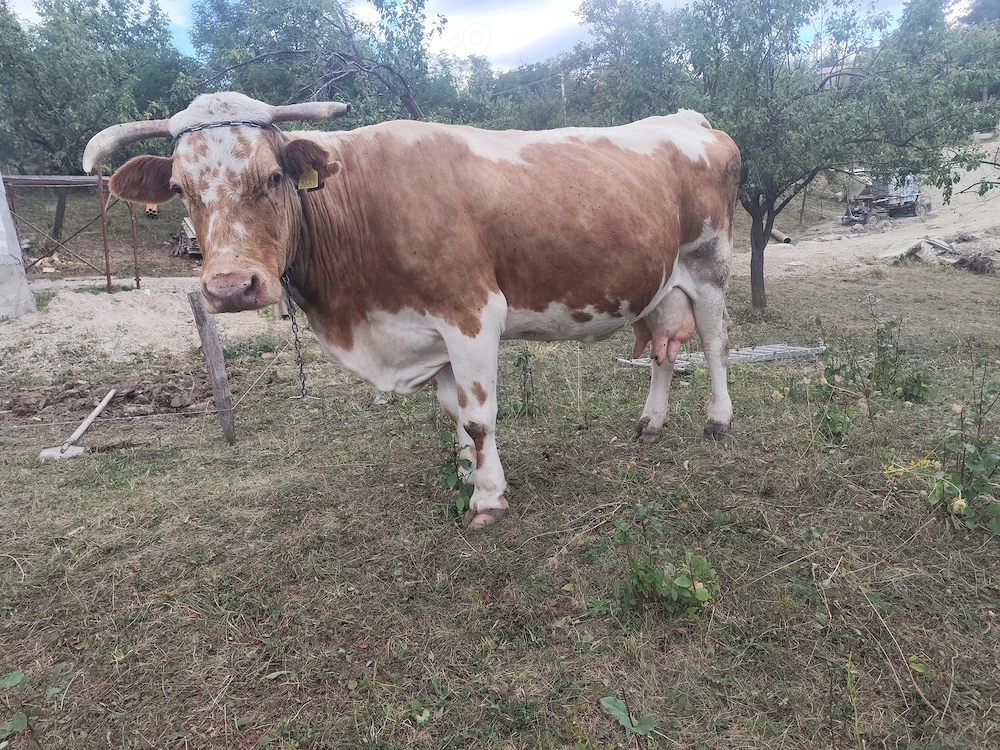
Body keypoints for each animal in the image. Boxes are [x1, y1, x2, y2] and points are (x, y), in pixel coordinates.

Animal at [83, 93, 740, 529]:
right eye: (182, 190)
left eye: (273, 177)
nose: (229, 287)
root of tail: (687, 119)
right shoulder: (425, 331)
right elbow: (454, 411)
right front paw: (469, 471)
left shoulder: (472, 314)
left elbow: (478, 416)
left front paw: (487, 498)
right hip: (658, 283)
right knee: (662, 350)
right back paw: (651, 422)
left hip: (708, 265)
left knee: (712, 341)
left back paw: (719, 419)